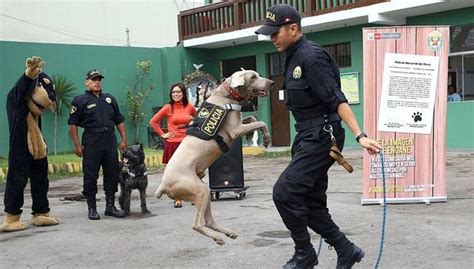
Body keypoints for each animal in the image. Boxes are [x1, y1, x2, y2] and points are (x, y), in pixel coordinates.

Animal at [156, 69, 274, 245]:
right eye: (253, 77)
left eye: (258, 74)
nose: (271, 83)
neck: (226, 95)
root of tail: (164, 184)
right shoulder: (235, 130)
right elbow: (260, 122)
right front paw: (266, 138)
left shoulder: (239, 124)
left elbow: (252, 118)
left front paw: (253, 135)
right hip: (199, 191)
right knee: (198, 225)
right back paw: (218, 238)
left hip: (203, 191)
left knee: (209, 221)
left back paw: (229, 233)